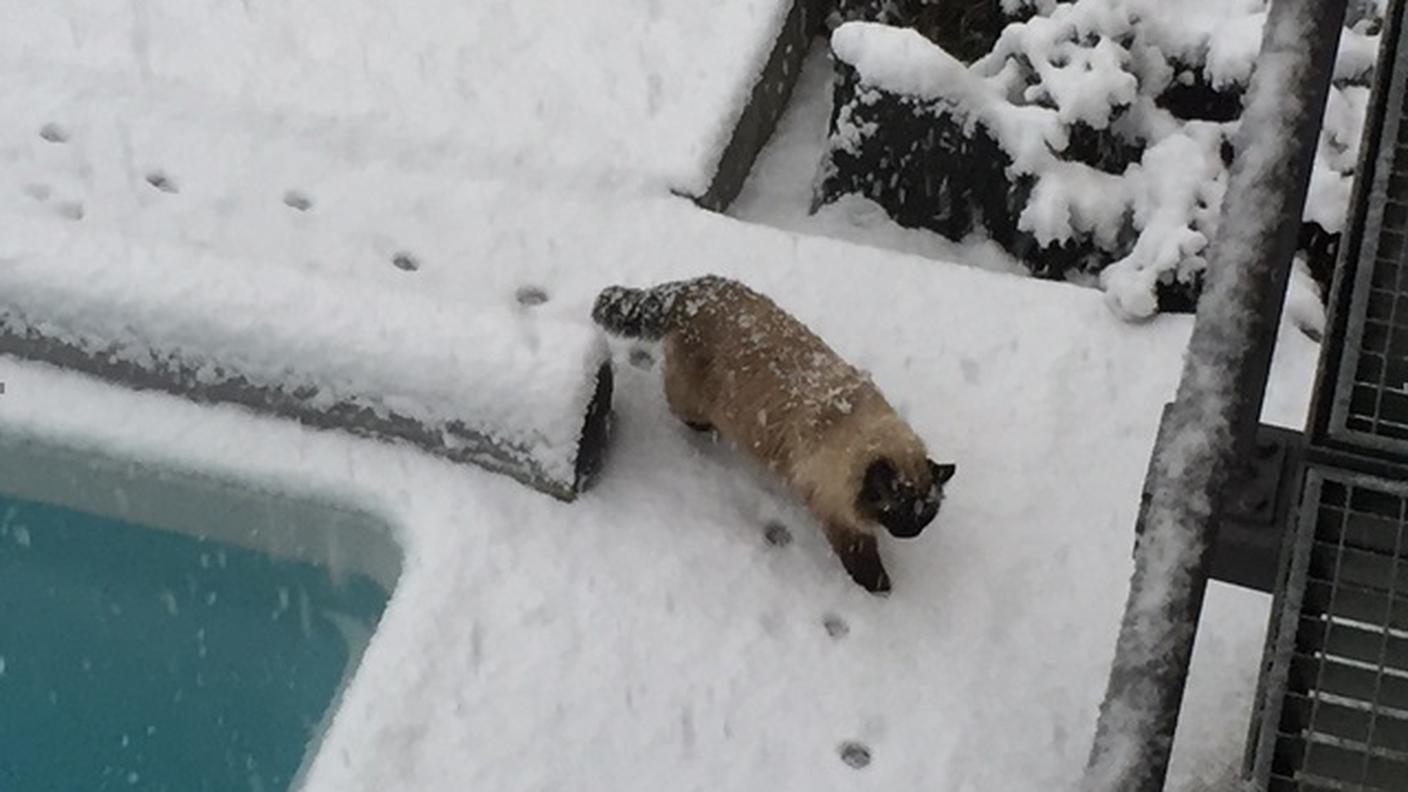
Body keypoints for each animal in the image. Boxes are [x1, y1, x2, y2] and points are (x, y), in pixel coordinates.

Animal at [588, 274, 951, 589]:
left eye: (926, 516)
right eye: (899, 511)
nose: (911, 534)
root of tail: (697, 287)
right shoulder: (834, 508)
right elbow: (859, 552)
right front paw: (879, 587)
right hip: (691, 399)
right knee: (679, 407)